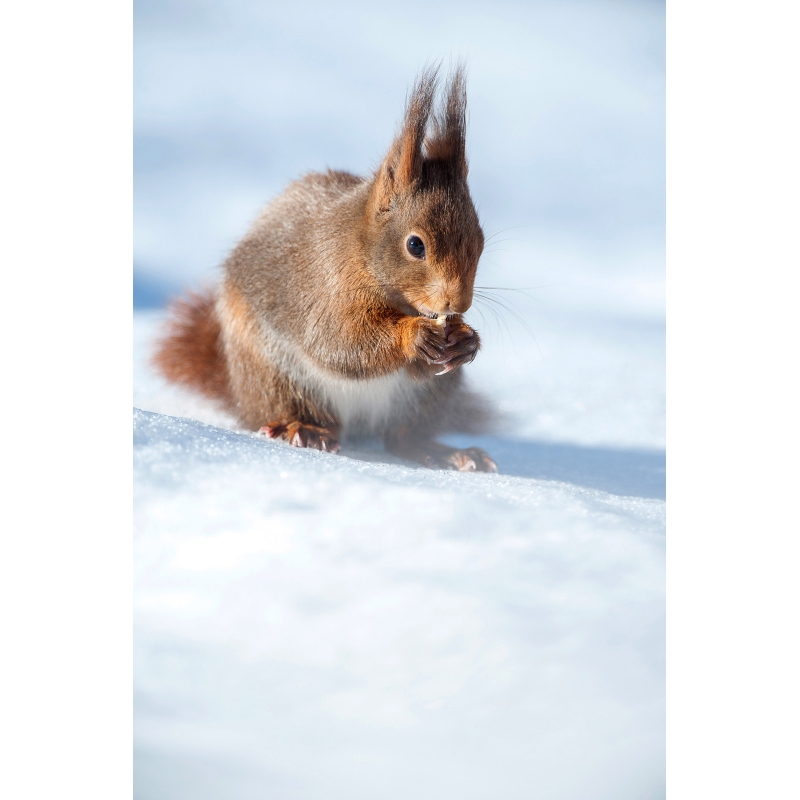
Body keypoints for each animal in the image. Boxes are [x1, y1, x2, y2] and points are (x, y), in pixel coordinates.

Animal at [153, 65, 498, 473]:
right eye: (415, 245)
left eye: (481, 241)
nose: (457, 305)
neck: (362, 253)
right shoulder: (325, 287)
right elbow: (342, 343)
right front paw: (413, 335)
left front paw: (467, 341)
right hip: (277, 377)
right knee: (297, 411)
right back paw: (304, 430)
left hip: (428, 397)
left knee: (401, 438)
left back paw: (444, 451)